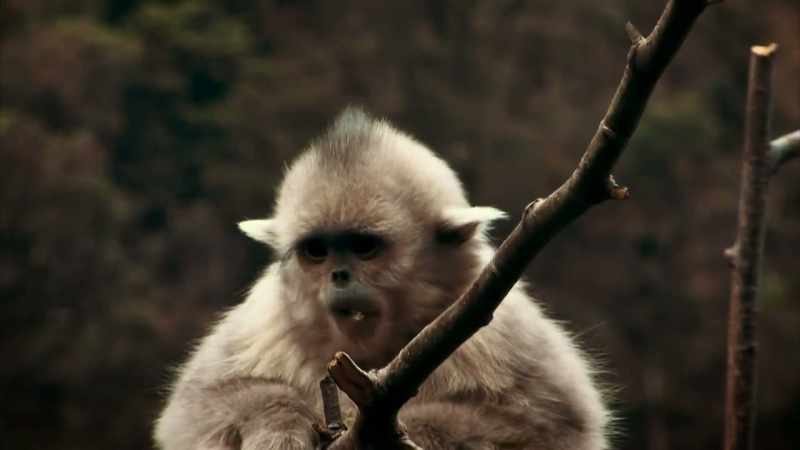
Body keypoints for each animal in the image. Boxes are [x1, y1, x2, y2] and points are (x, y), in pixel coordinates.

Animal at [154, 108, 610, 450]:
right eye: (317, 251)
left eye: (363, 247)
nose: (338, 274)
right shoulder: (268, 316)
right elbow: (192, 411)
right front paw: (279, 425)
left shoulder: (497, 319)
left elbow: (554, 426)